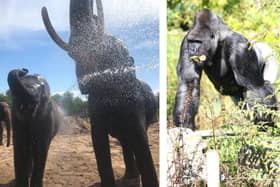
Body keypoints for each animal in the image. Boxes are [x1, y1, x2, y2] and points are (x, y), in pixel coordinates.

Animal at [41, 0, 160, 186]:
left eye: (111, 51)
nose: (95, 16)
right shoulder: (94, 107)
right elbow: (98, 142)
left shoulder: (136, 102)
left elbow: (140, 140)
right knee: (125, 141)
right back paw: (130, 177)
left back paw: (133, 177)